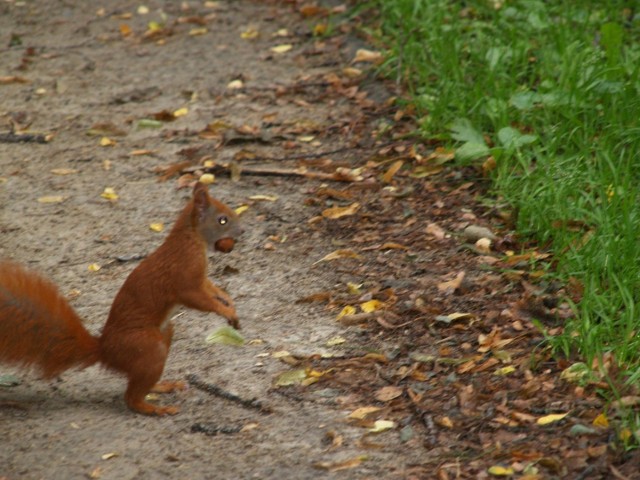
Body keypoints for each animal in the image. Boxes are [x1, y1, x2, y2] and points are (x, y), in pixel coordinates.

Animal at [0, 182, 242, 414]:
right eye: (222, 219)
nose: (242, 231)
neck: (191, 238)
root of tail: (105, 351)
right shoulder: (185, 276)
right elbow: (198, 299)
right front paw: (226, 311)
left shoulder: (201, 279)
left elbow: (212, 289)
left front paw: (229, 302)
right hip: (148, 348)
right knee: (131, 398)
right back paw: (155, 409)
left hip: (165, 333)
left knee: (140, 382)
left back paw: (162, 386)